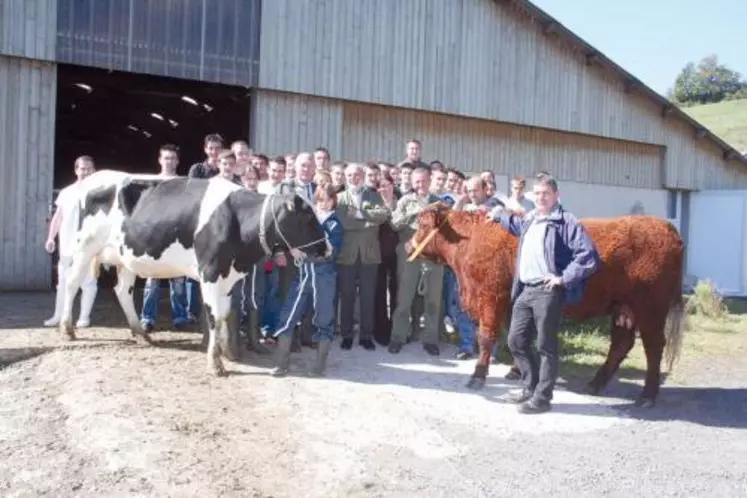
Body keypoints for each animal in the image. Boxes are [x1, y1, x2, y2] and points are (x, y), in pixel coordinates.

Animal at [58, 169, 328, 376]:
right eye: (308, 218)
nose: (328, 248)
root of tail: (92, 178)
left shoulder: (227, 276)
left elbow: (224, 315)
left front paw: (226, 352)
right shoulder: (210, 273)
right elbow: (214, 316)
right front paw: (216, 363)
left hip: (125, 257)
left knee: (122, 290)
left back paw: (140, 334)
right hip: (84, 248)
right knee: (72, 283)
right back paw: (67, 329)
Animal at [406, 204, 688, 406]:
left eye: (422, 225)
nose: (408, 245)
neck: (470, 240)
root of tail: (666, 227)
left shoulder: (489, 299)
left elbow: (486, 338)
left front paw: (478, 376)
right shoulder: (510, 305)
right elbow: (517, 337)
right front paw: (519, 373)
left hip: (650, 309)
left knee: (653, 348)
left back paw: (647, 396)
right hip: (623, 310)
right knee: (620, 345)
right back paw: (595, 385)